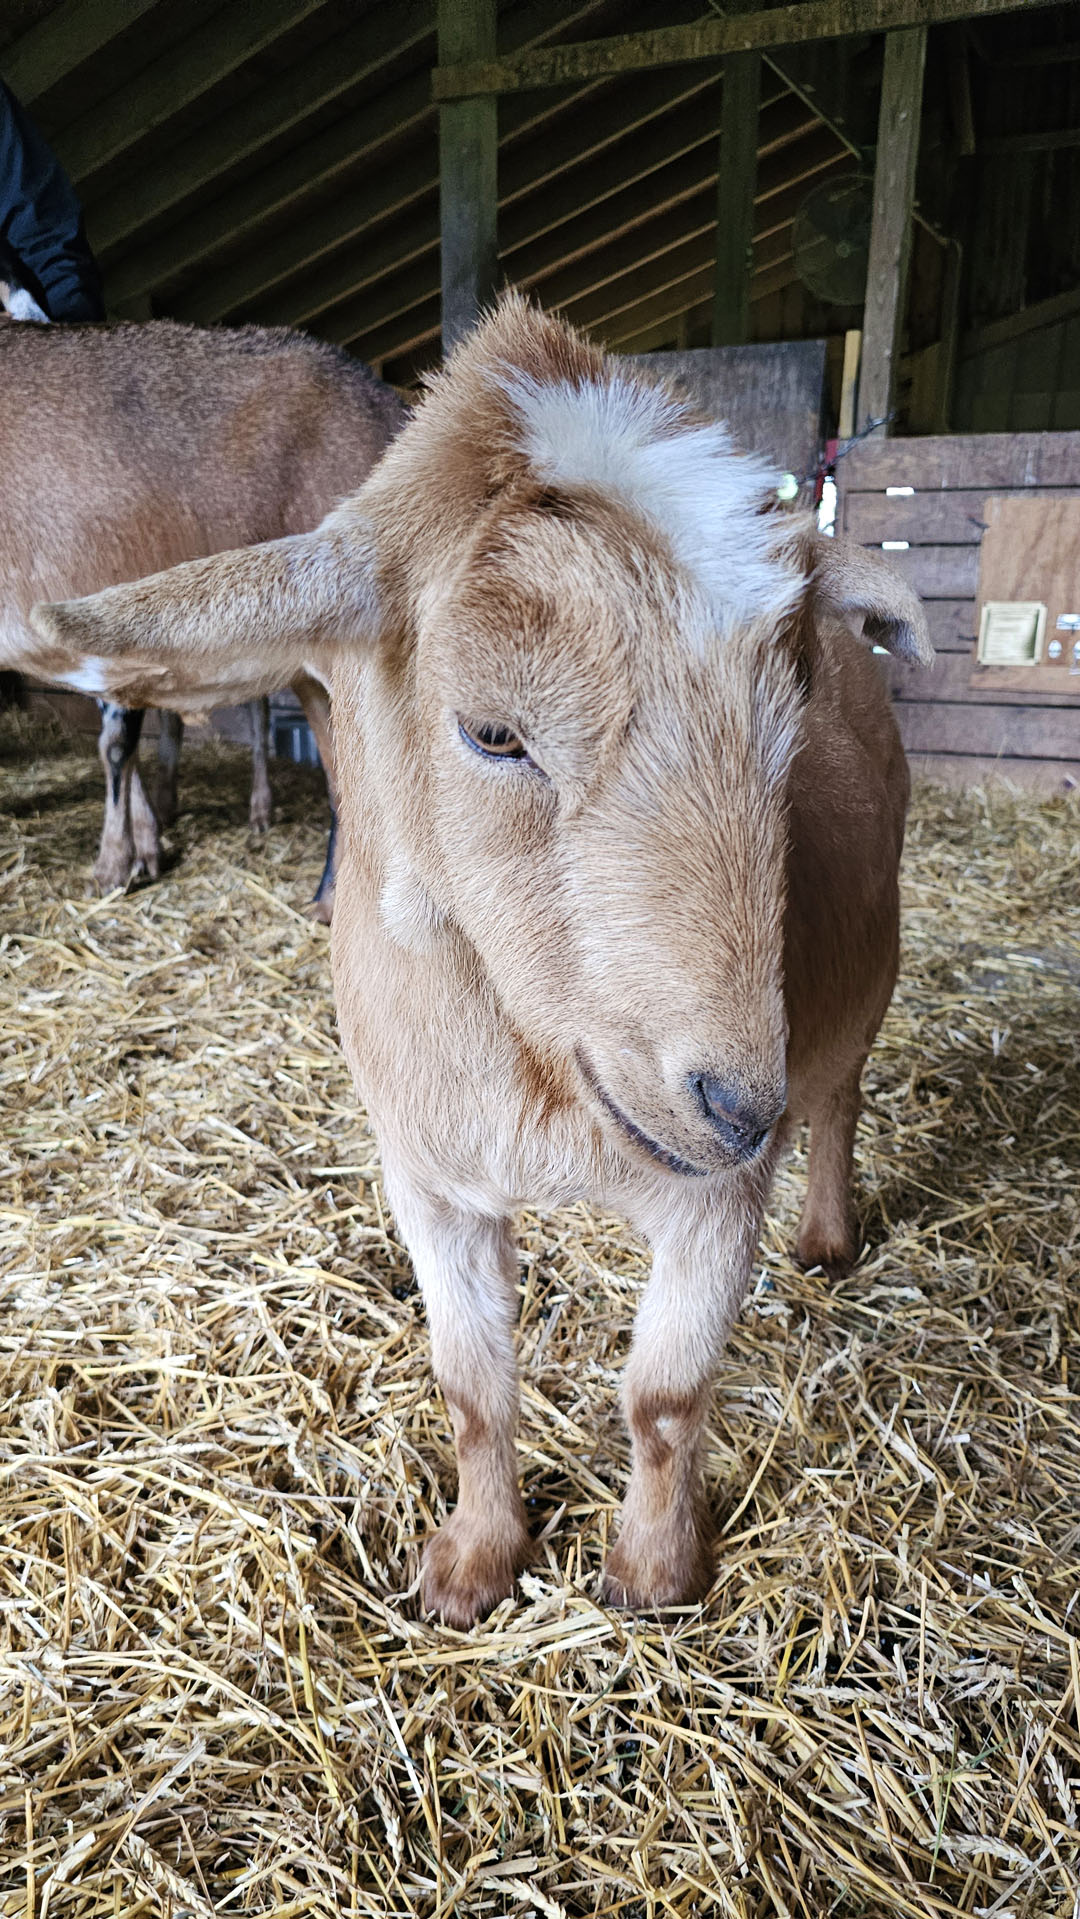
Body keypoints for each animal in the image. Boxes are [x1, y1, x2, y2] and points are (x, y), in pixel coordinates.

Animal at [24, 296, 933, 1627]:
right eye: (492, 731)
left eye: (788, 717)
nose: (732, 1102)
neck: (536, 1075)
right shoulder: (427, 1173)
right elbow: (469, 1381)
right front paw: (471, 1563)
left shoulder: (714, 1194)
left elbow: (663, 1398)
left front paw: (654, 1572)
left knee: (843, 1092)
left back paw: (826, 1229)